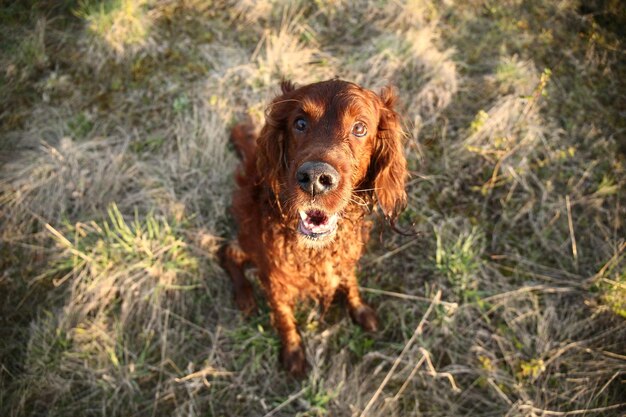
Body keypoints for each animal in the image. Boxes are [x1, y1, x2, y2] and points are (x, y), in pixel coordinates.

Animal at [221, 79, 410, 376]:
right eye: (299, 123)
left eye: (359, 128)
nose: (314, 179)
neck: (315, 250)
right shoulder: (274, 277)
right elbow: (283, 316)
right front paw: (293, 352)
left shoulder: (344, 257)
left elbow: (350, 281)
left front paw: (359, 310)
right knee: (226, 252)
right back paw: (245, 297)